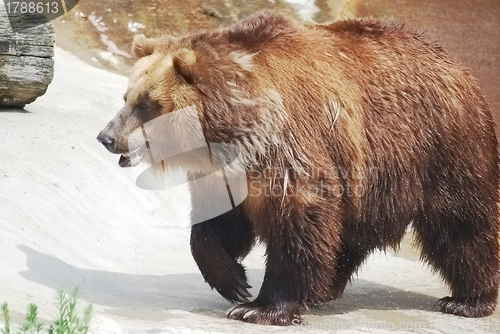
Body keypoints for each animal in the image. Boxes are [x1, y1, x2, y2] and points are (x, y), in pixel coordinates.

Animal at [97, 11, 500, 326]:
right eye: (127, 97)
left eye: (148, 104)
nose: (107, 137)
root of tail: (455, 62)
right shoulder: (227, 173)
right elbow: (215, 226)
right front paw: (234, 281)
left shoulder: (291, 148)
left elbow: (299, 221)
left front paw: (260, 307)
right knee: (350, 234)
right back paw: (326, 288)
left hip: (440, 146)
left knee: (461, 223)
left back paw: (467, 299)